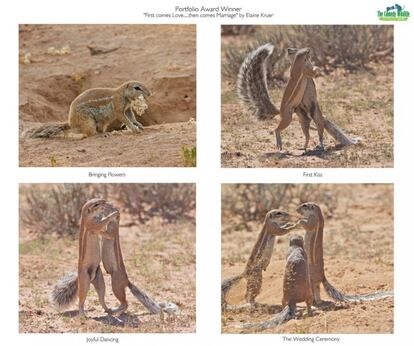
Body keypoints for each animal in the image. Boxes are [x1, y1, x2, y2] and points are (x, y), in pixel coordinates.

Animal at [49, 197, 178, 318]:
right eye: (96, 204)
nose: (105, 201)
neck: (86, 215)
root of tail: (126, 281)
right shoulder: (93, 224)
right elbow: (101, 227)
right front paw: (113, 215)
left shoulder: (107, 229)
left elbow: (105, 230)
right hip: (88, 280)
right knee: (83, 300)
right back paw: (85, 313)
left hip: (101, 279)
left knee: (111, 299)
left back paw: (109, 310)